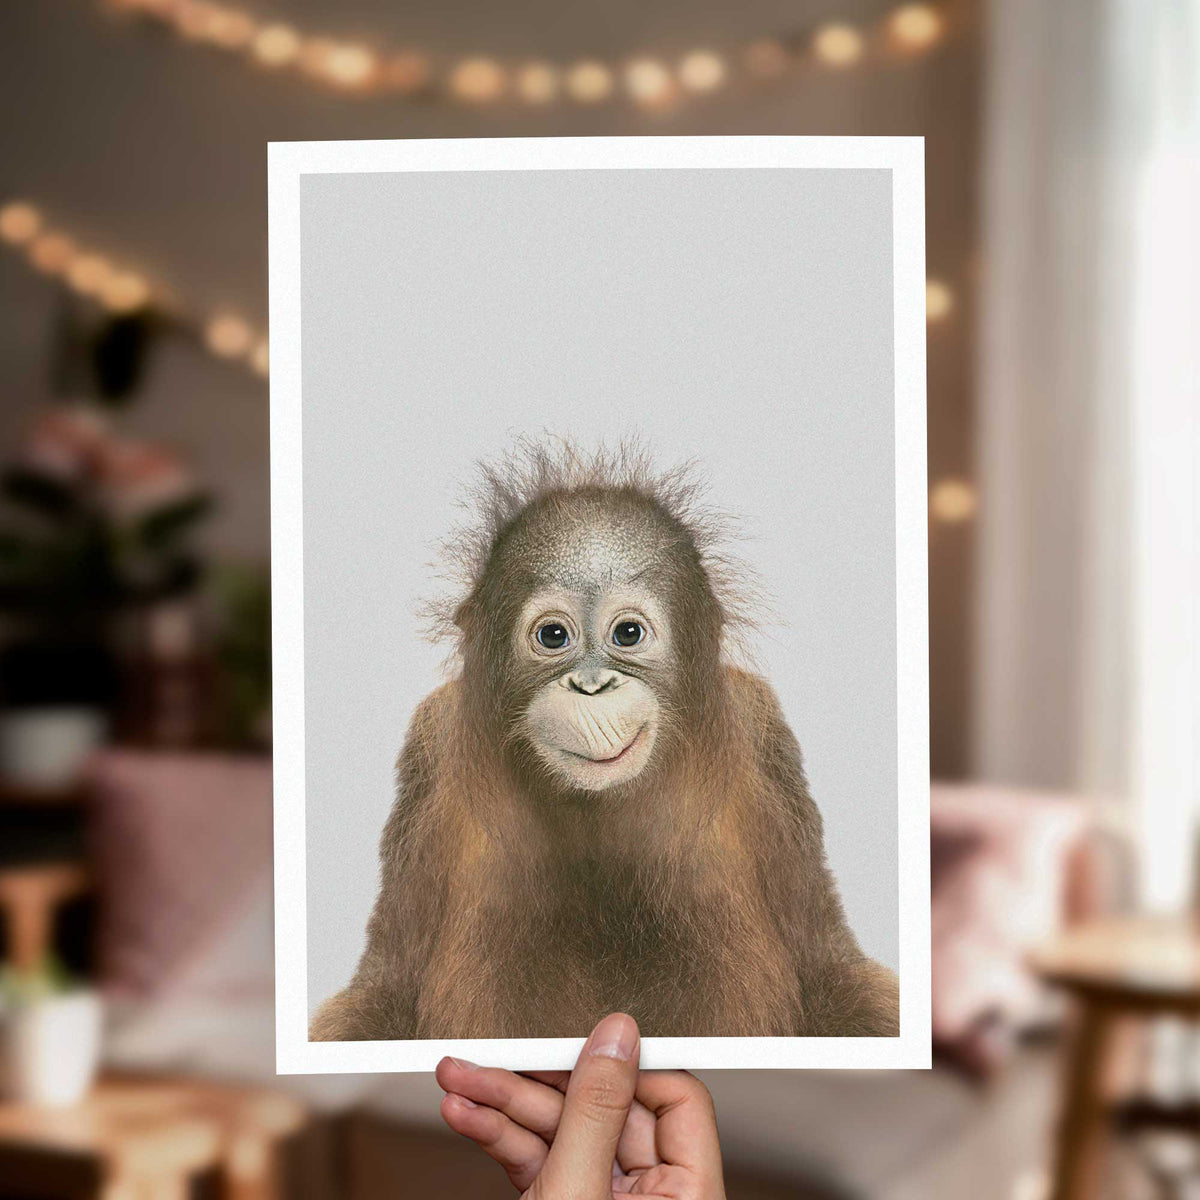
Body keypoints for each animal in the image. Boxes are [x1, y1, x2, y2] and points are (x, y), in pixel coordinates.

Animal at [310, 440, 899, 1041]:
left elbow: (829, 973)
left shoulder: (764, 732)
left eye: (628, 633)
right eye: (553, 636)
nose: (591, 686)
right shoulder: (429, 743)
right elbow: (385, 993)